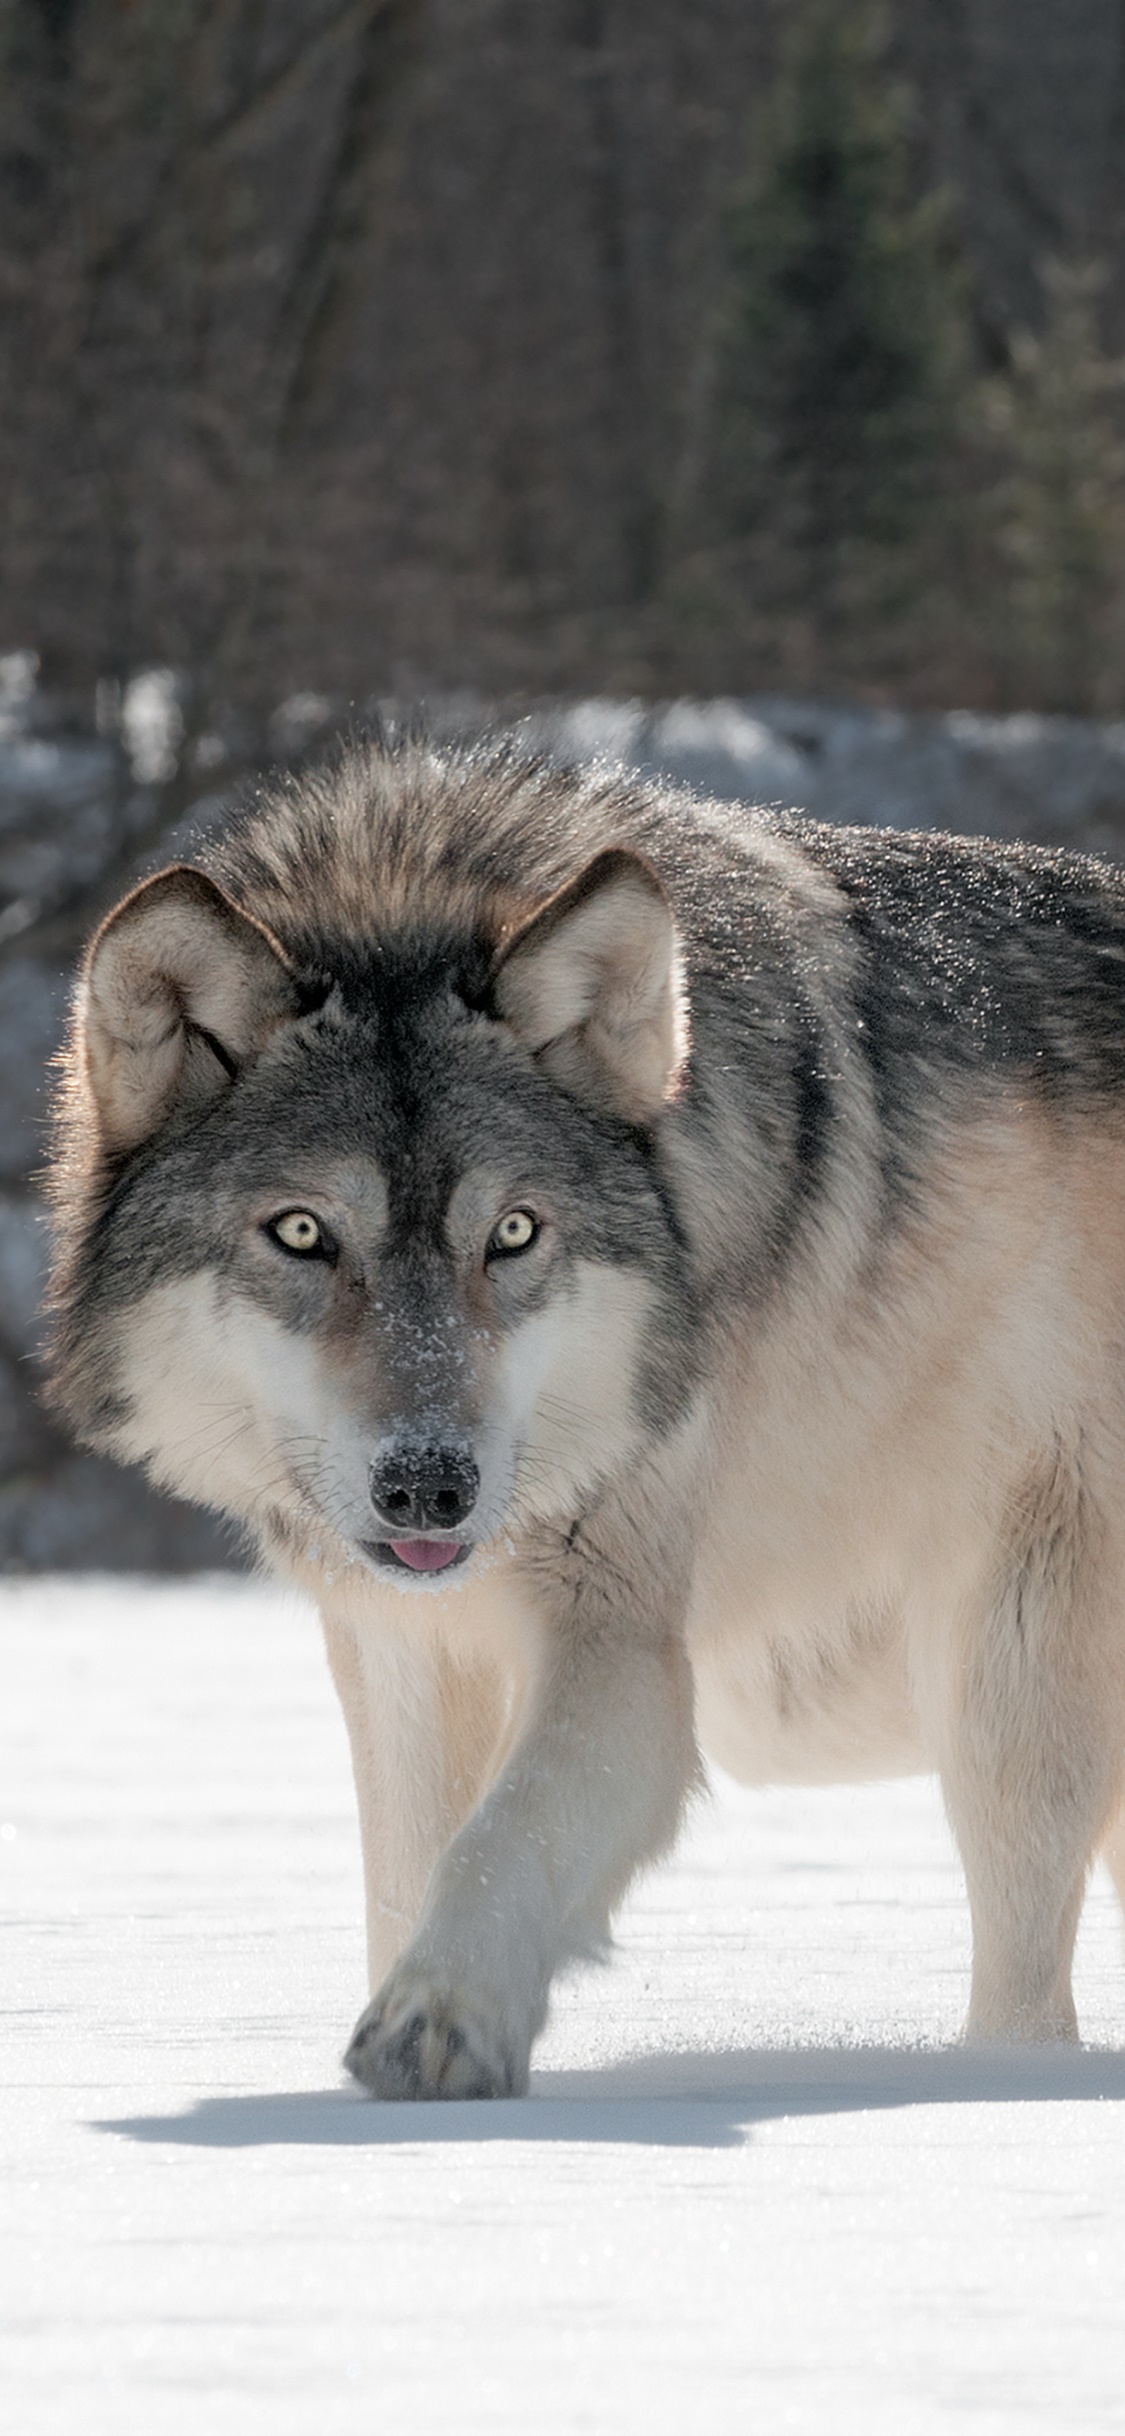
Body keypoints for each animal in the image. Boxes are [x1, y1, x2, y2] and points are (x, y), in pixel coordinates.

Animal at [44, 733, 1125, 2095]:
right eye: (301, 1233)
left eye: (513, 1234)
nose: (430, 1485)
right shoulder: (404, 1649)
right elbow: (408, 1870)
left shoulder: (622, 1642)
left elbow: (503, 1840)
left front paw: (437, 2024)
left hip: (1008, 1667)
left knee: (1028, 1997)